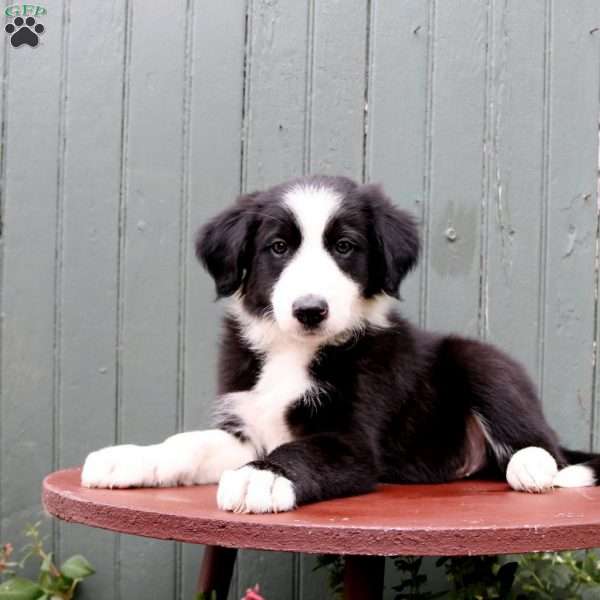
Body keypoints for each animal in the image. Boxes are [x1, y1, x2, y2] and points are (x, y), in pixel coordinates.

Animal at [82, 176, 600, 512]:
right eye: (278, 247)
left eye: (345, 247)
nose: (311, 309)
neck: (293, 350)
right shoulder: (248, 428)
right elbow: (187, 443)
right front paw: (129, 458)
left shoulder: (352, 444)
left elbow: (301, 452)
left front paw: (259, 478)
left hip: (483, 361)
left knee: (547, 446)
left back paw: (534, 467)